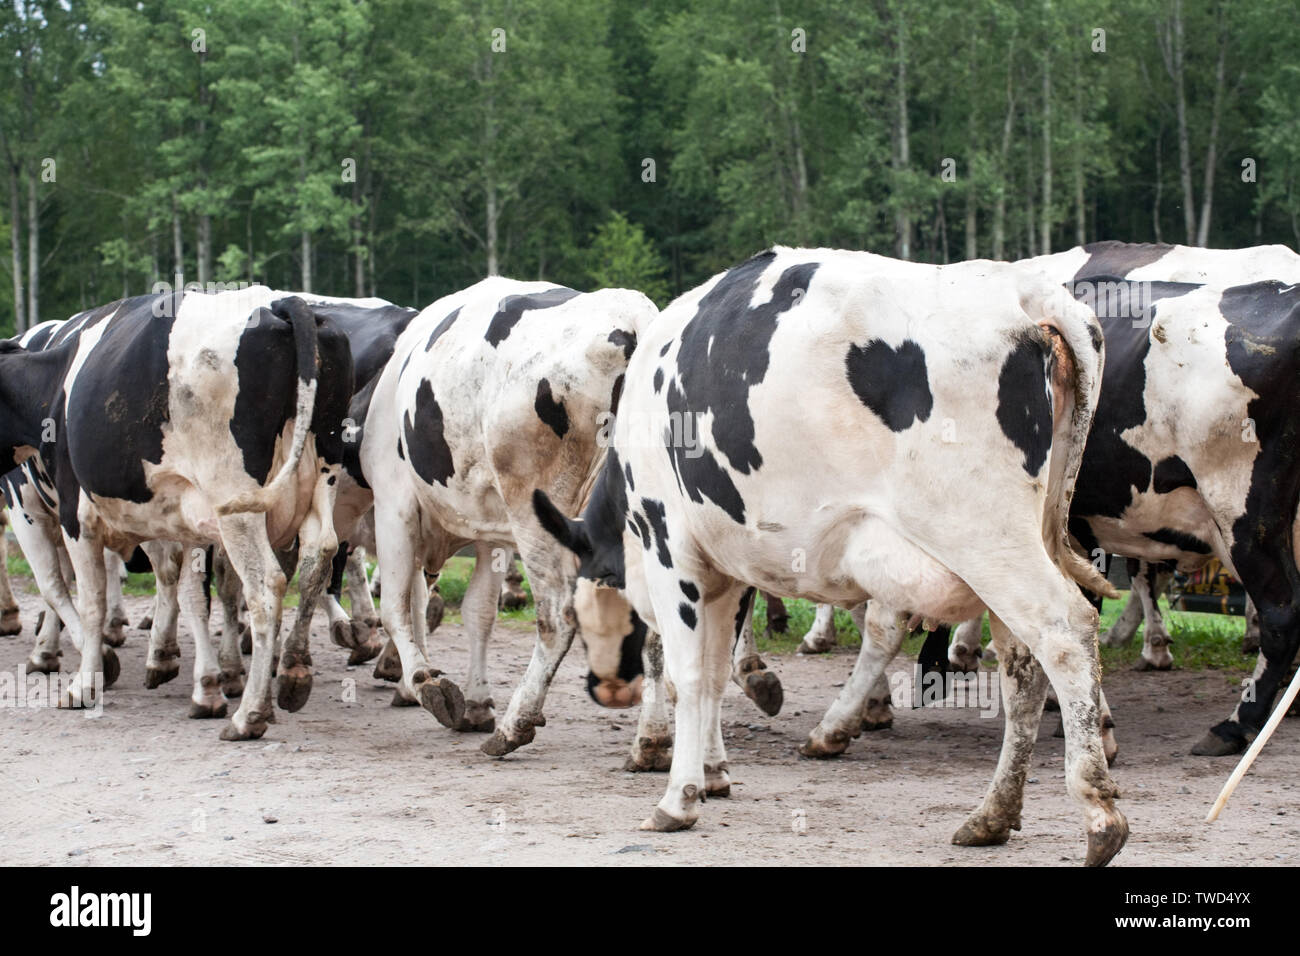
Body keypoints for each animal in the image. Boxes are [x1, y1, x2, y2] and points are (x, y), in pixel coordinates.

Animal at [0, 286, 353, 740]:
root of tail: (277, 305)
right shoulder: (183, 520)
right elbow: (189, 594)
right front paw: (204, 688)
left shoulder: (66, 514)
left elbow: (78, 595)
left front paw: (85, 682)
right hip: (320, 481)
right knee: (318, 560)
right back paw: (292, 675)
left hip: (236, 501)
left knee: (266, 586)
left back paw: (250, 715)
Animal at [534, 247, 1129, 865]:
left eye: (594, 597)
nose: (606, 689)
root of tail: (1024, 290)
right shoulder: (728, 570)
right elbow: (718, 672)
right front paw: (715, 773)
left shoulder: (670, 546)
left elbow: (688, 675)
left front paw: (680, 798)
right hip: (1015, 545)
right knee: (1022, 667)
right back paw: (992, 814)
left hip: (983, 536)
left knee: (1064, 631)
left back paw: (1097, 812)